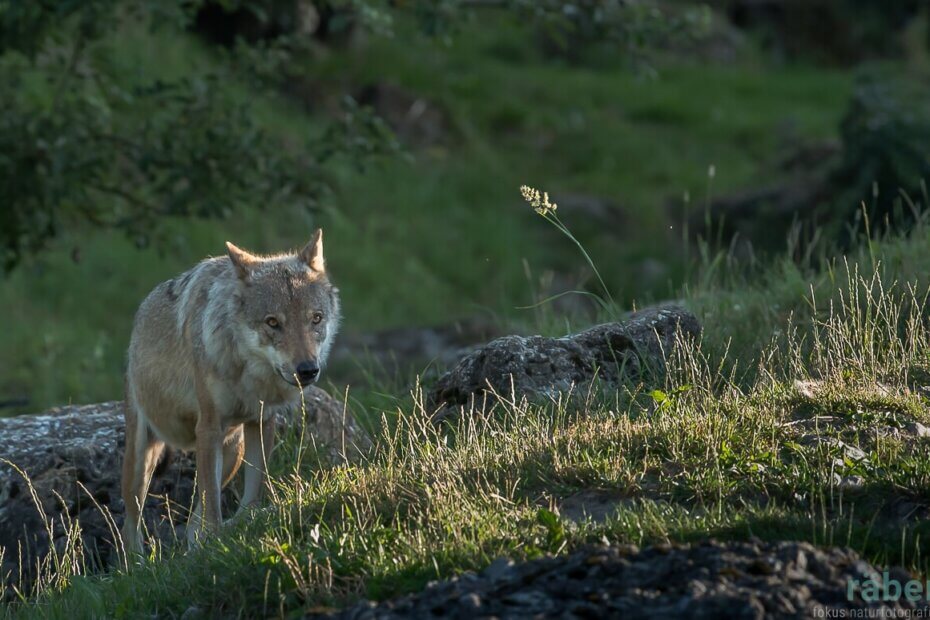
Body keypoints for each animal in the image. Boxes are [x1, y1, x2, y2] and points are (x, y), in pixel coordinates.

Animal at [120, 230, 340, 548]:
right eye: (272, 322)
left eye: (316, 319)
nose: (307, 369)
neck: (250, 376)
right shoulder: (209, 427)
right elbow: (212, 503)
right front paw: (216, 538)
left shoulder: (262, 420)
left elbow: (254, 484)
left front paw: (248, 522)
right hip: (141, 462)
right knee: (130, 526)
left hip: (233, 449)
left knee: (192, 521)